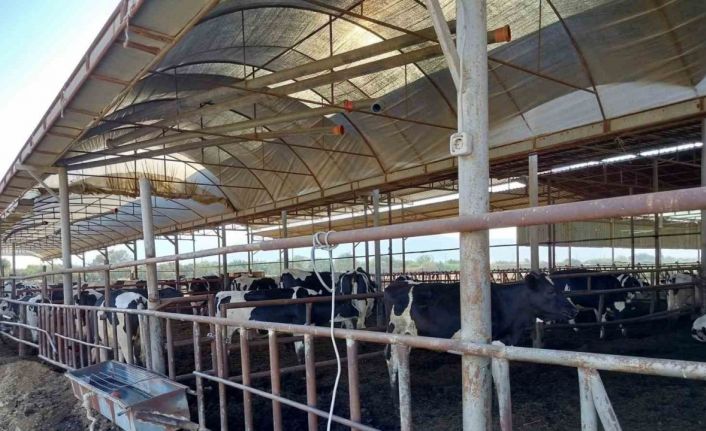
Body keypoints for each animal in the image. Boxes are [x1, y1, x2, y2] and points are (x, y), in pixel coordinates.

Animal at [384, 272, 577, 397]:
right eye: (550, 291)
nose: (574, 310)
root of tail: (398, 282)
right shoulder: (495, 343)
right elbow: (496, 378)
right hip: (394, 330)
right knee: (390, 361)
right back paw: (394, 397)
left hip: (407, 335)